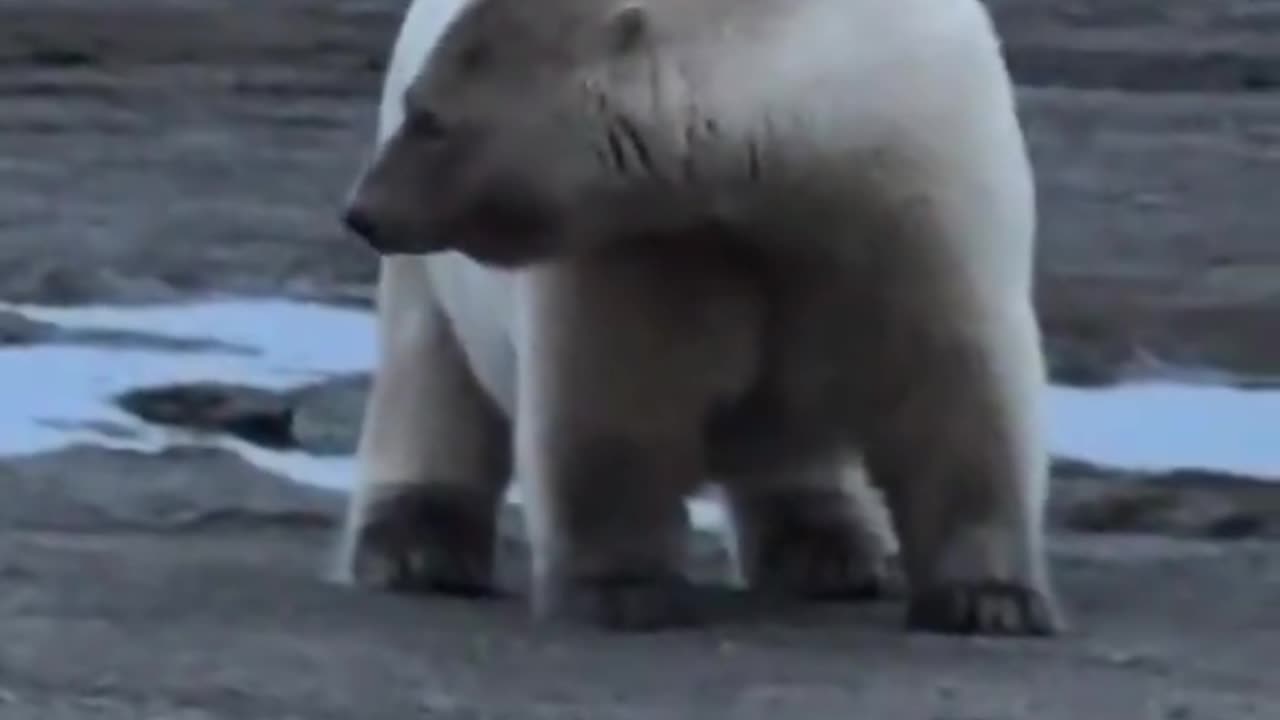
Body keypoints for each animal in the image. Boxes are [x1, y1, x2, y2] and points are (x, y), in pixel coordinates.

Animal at [335, 0, 1064, 632]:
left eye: (431, 120)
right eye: (416, 107)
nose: (362, 211)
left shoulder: (922, 197)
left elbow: (956, 386)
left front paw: (993, 600)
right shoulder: (650, 245)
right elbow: (614, 397)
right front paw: (623, 590)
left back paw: (832, 549)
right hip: (433, 283)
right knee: (429, 376)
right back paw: (415, 549)